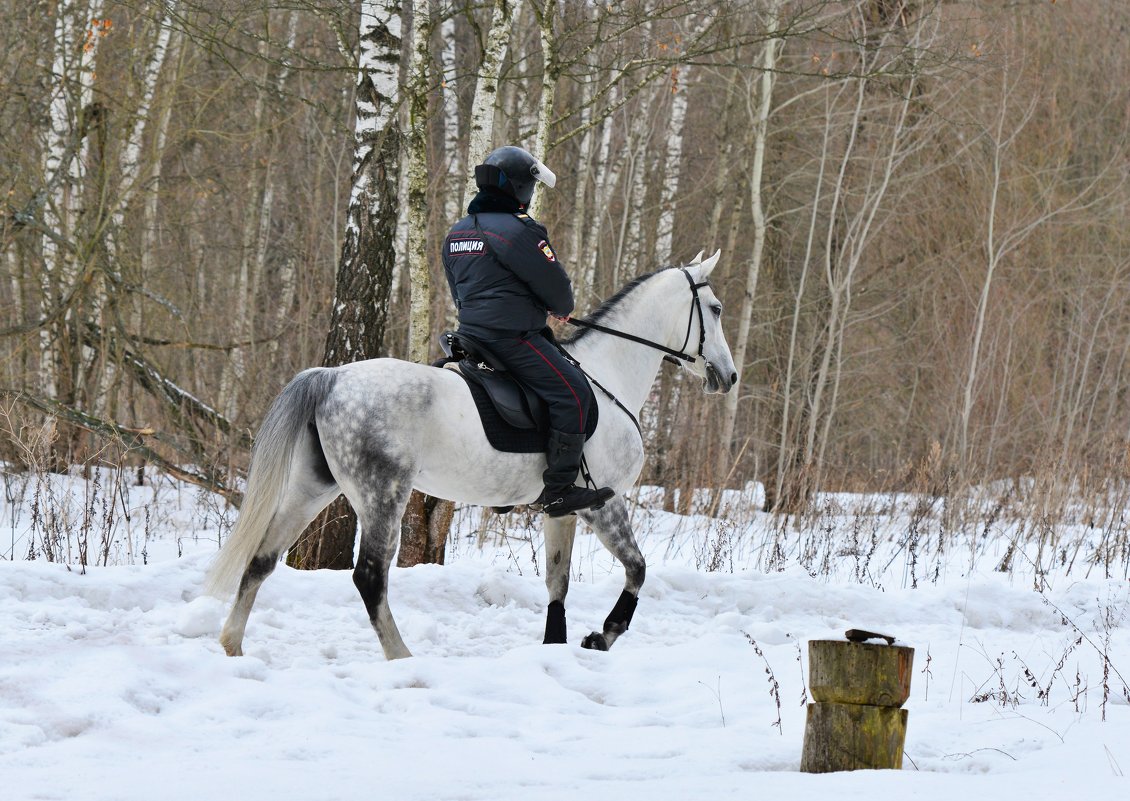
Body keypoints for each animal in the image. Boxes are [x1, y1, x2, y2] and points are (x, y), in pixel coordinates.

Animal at [204, 249, 736, 655]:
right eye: (715, 308)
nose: (728, 376)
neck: (606, 376)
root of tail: (332, 377)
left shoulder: (561, 509)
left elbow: (557, 581)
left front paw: (555, 647)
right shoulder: (602, 501)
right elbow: (637, 569)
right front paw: (601, 637)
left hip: (314, 486)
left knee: (263, 557)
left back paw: (232, 644)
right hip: (382, 495)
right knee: (370, 577)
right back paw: (402, 658)